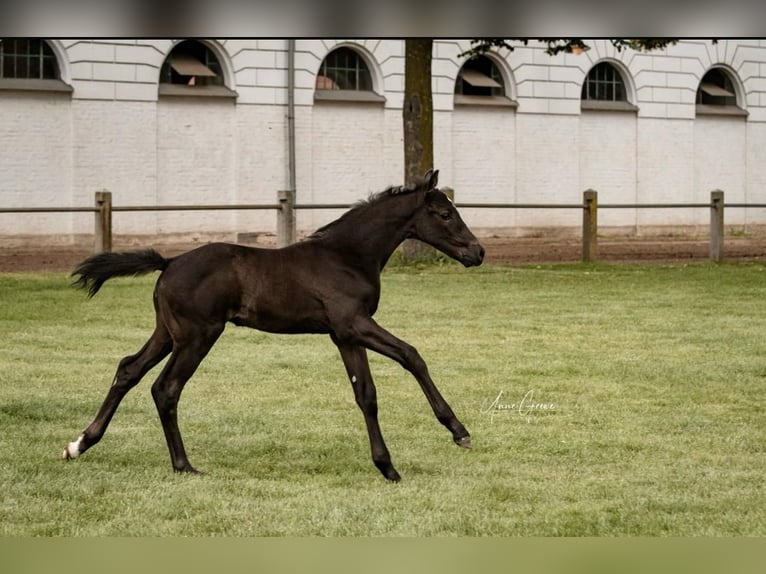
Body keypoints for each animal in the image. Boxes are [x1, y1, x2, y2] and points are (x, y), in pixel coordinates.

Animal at [63, 169, 485, 481]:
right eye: (445, 215)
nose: (478, 252)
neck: (347, 256)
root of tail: (168, 263)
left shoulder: (343, 335)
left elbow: (365, 393)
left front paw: (387, 467)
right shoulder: (355, 323)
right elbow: (412, 356)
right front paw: (458, 430)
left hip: (168, 333)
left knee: (128, 369)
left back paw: (79, 444)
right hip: (198, 336)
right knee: (165, 388)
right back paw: (184, 466)